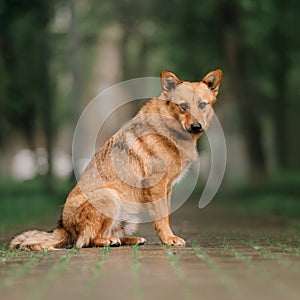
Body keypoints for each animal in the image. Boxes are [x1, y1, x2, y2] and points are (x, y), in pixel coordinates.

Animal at [9, 69, 221, 250]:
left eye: (202, 105)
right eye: (183, 106)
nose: (197, 126)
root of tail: (64, 227)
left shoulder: (167, 188)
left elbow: (165, 216)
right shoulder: (156, 186)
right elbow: (162, 219)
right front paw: (169, 239)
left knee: (107, 234)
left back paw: (129, 239)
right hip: (109, 197)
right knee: (87, 241)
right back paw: (109, 241)